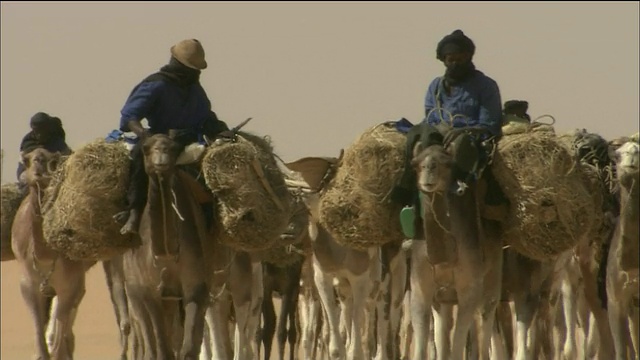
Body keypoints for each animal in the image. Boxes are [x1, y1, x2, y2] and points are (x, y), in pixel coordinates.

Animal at [10, 148, 90, 360]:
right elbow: (40, 339)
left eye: (51, 159)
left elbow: (58, 340)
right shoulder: (28, 285)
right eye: (27, 159)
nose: (39, 165)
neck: (45, 256)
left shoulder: (68, 284)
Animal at [122, 134, 215, 358]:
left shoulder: (196, 286)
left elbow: (189, 348)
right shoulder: (151, 292)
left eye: (173, 147)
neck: (166, 253)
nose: (161, 158)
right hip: (134, 292)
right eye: (146, 148)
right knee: (149, 341)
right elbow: (163, 349)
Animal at [410, 142, 504, 358]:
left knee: (487, 314)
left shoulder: (470, 289)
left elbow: (459, 344)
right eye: (416, 164)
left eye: (447, 164)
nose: (429, 171)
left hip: (494, 271)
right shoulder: (420, 288)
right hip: (443, 298)